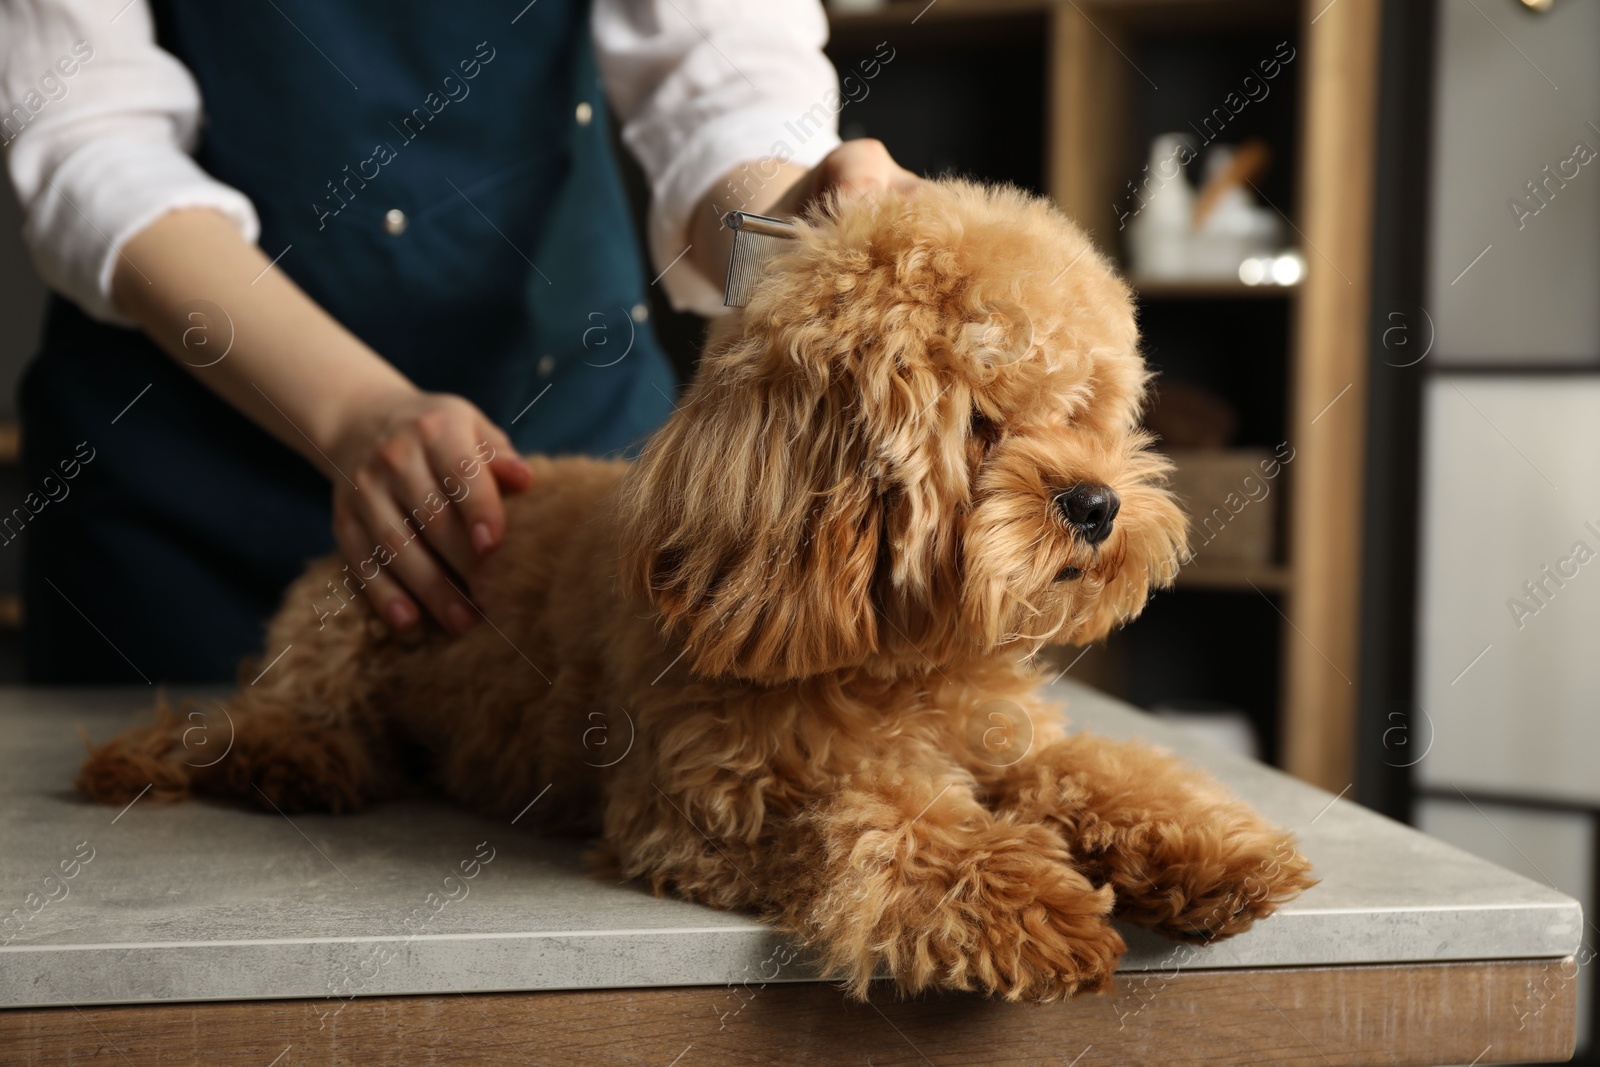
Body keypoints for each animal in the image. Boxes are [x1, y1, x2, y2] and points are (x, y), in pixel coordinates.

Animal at [75, 179, 1312, 1004]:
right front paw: (1029, 899)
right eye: (981, 422)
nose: (1097, 504)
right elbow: (884, 816)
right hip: (350, 632)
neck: (897, 660)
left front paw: (1212, 850)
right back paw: (297, 761)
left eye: (1085, 410)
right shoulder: (704, 810)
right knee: (275, 717)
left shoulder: (1004, 739)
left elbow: (1098, 767)